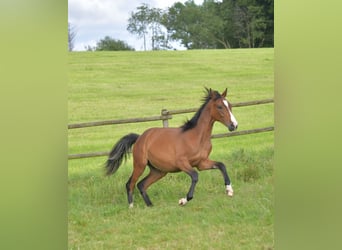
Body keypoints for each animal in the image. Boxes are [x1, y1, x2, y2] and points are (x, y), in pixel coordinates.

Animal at [104, 88, 238, 207]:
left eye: (230, 105)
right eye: (220, 106)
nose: (234, 125)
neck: (196, 137)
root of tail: (140, 138)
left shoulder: (202, 163)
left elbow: (221, 165)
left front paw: (229, 190)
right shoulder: (182, 163)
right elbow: (195, 176)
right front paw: (183, 200)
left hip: (159, 171)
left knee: (141, 184)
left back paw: (150, 206)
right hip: (140, 165)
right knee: (130, 184)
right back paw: (131, 207)